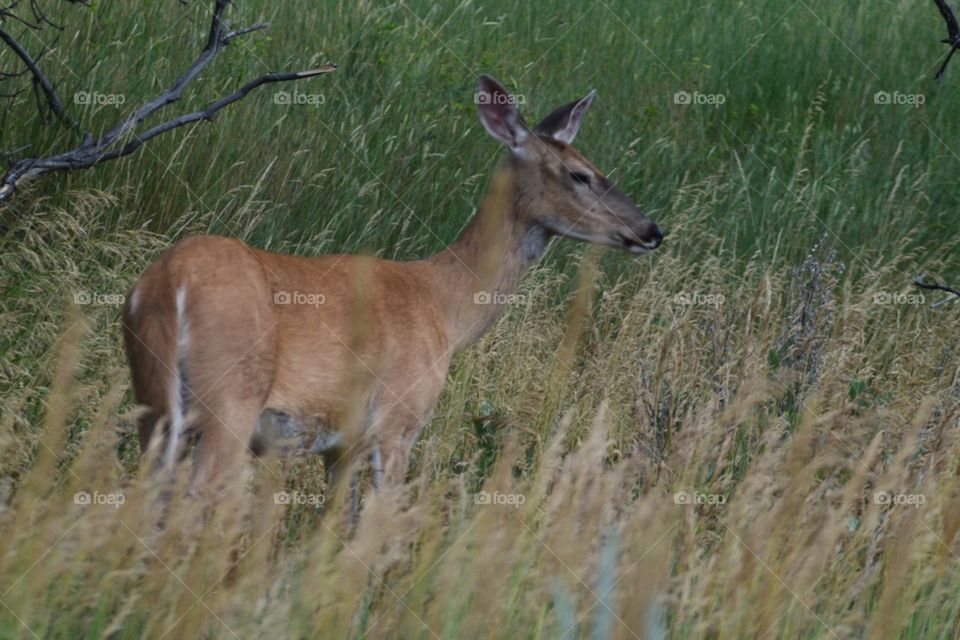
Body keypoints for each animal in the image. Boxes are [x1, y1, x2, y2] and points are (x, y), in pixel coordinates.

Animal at [122, 74, 663, 500]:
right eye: (581, 175)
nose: (651, 230)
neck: (444, 305)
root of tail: (168, 282)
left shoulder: (342, 445)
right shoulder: (400, 419)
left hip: (154, 405)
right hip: (227, 400)